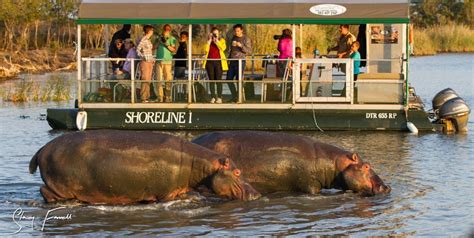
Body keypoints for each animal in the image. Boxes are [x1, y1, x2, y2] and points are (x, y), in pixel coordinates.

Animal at [29, 130, 262, 205]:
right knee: (45, 191)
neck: (198, 163)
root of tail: (42, 149)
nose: (257, 193)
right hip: (60, 186)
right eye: (237, 171)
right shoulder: (167, 194)